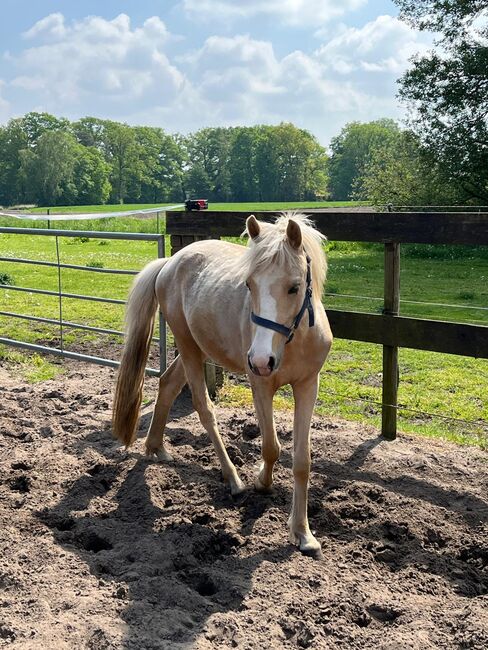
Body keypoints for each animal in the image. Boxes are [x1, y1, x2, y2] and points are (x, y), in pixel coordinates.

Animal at [111, 213, 332, 556]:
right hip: (188, 347)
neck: (292, 342)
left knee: (167, 384)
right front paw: (261, 482)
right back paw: (234, 481)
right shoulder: (261, 386)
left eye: (294, 287)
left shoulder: (308, 385)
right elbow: (271, 447)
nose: (261, 359)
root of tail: (170, 262)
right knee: (204, 408)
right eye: (249, 284)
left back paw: (156, 448)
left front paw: (303, 533)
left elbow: (302, 460)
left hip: (198, 349)